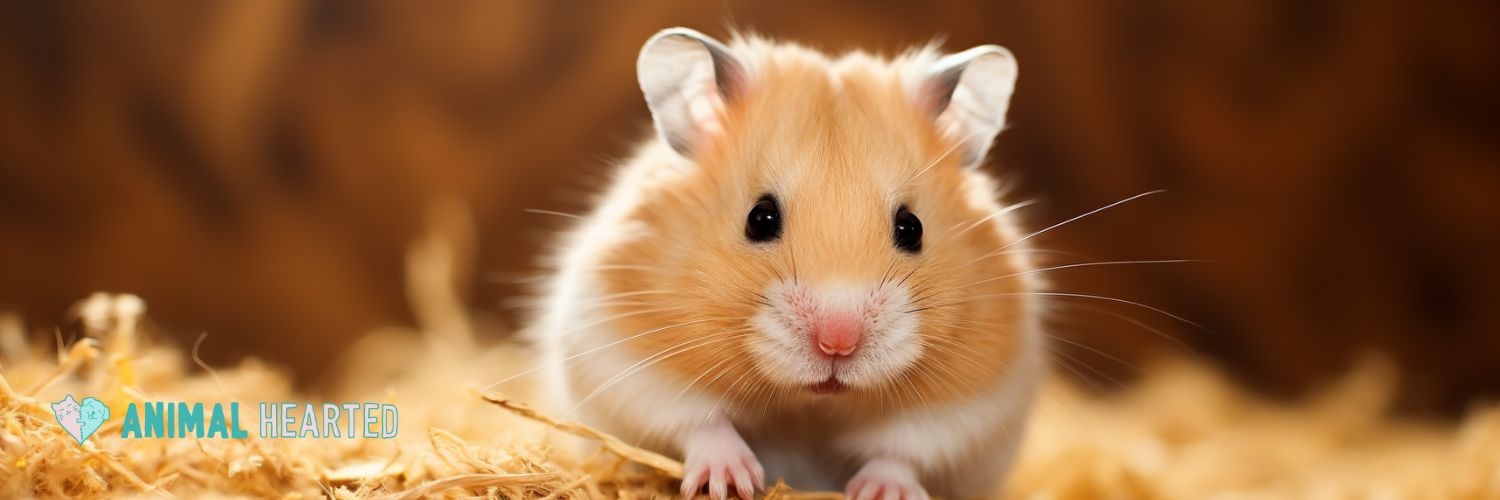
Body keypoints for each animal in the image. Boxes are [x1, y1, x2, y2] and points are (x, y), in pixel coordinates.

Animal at [536, 28, 1044, 499]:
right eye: (760, 218)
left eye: (911, 228)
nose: (838, 343)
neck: (806, 404)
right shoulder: (622, 353)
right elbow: (697, 420)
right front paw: (732, 481)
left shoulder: (976, 400)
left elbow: (903, 451)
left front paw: (882, 491)